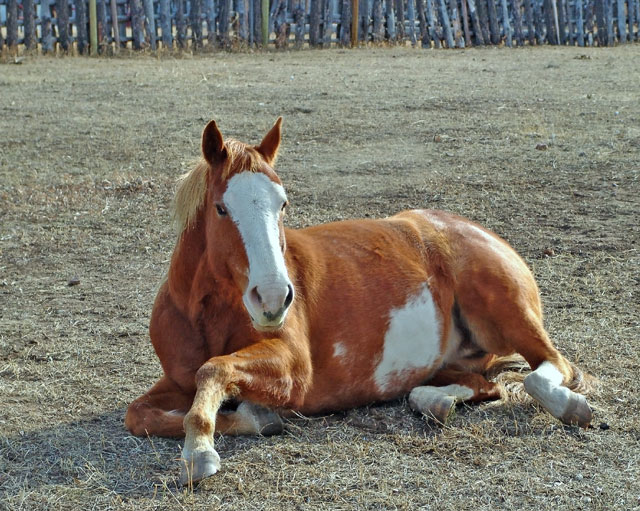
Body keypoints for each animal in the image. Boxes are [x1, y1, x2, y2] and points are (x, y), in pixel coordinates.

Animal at [126, 118, 596, 486]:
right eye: (222, 209)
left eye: (283, 204)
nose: (274, 297)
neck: (206, 313)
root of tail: (479, 233)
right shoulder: (177, 380)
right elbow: (140, 415)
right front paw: (246, 420)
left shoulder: (293, 368)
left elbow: (214, 369)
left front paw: (201, 451)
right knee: (484, 385)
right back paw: (434, 401)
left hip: (508, 317)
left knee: (549, 369)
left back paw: (569, 407)